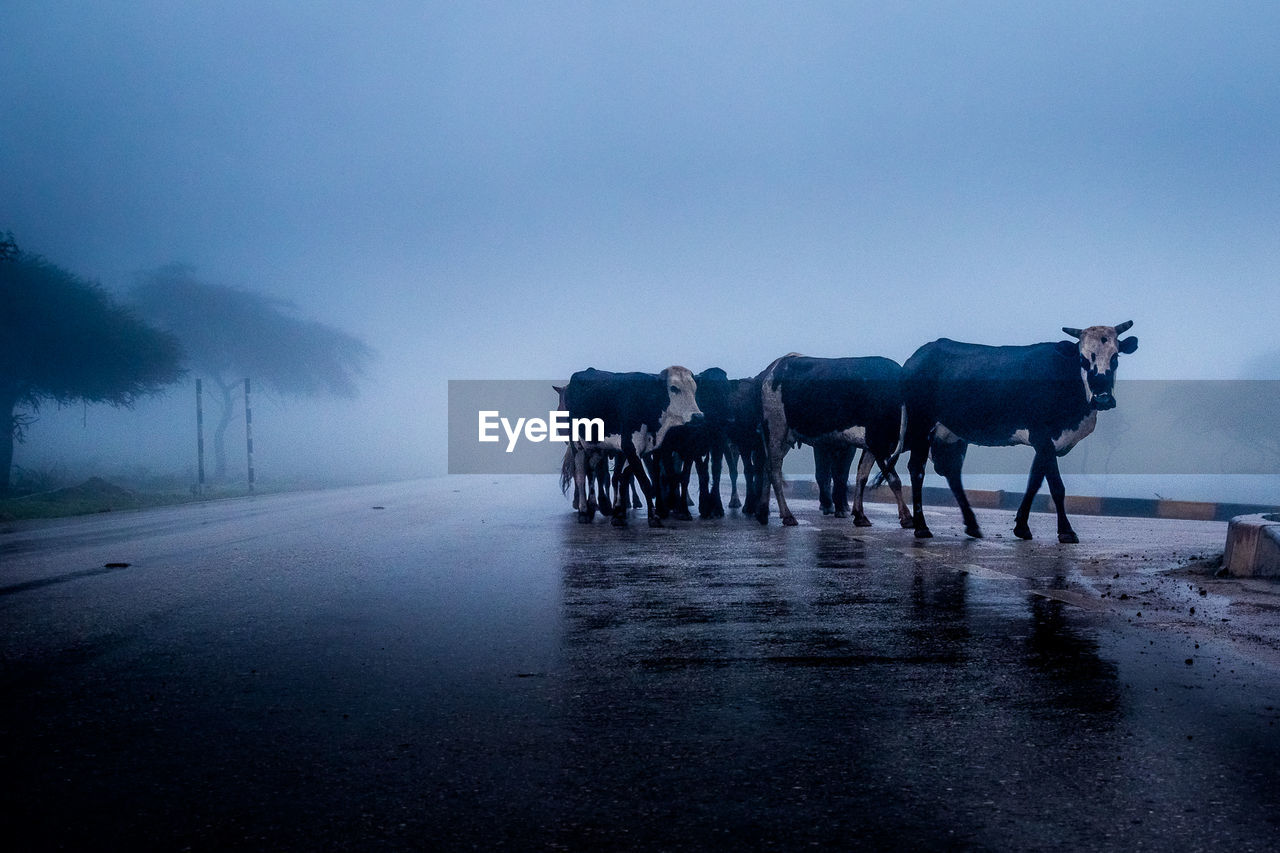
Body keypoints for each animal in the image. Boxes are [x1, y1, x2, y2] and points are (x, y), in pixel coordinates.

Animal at [560, 366, 701, 525]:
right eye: (674, 388)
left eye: (694, 389)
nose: (698, 416)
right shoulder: (630, 447)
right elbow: (645, 482)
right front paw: (653, 517)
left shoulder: (634, 451)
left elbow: (622, 478)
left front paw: (618, 515)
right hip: (577, 445)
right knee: (580, 475)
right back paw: (584, 512)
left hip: (598, 448)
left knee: (591, 472)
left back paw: (592, 508)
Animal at [752, 350, 916, 525]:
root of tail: (772, 368)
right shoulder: (878, 443)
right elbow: (894, 480)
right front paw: (907, 517)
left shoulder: (871, 447)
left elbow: (861, 476)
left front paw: (859, 515)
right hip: (776, 430)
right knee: (774, 470)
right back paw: (787, 516)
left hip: (785, 439)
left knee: (767, 467)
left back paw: (763, 513)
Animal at [901, 318, 1141, 537]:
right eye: (1082, 358)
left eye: (1115, 357)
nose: (1102, 399)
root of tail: (917, 357)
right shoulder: (1042, 436)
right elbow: (1056, 486)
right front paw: (1066, 531)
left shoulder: (1048, 443)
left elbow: (1034, 482)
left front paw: (1022, 526)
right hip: (920, 425)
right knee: (916, 470)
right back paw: (921, 527)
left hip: (950, 433)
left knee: (951, 472)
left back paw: (972, 525)